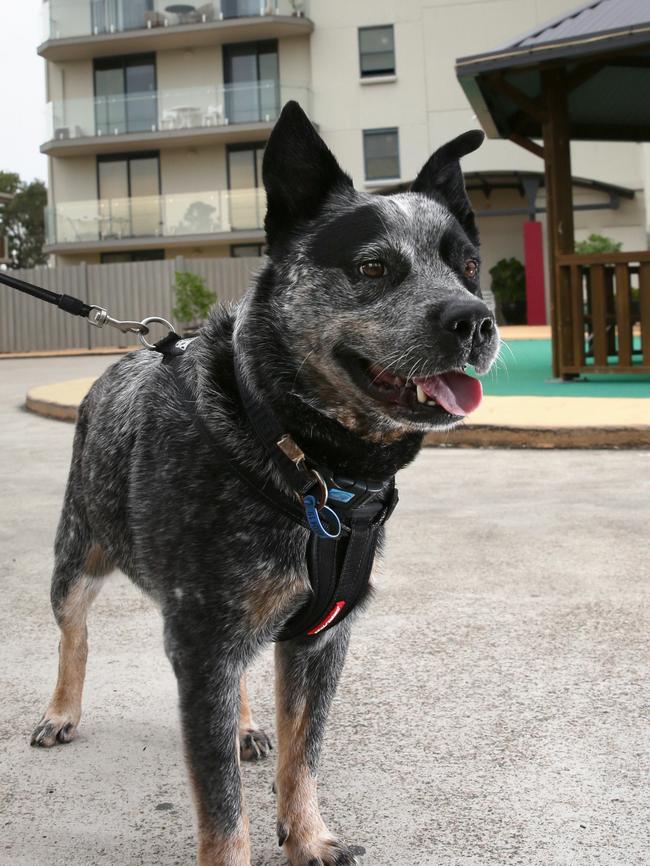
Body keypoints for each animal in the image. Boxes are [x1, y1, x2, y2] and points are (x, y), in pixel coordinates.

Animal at [29, 98, 496, 860]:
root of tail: (120, 360)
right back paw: (61, 709)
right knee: (75, 633)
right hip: (77, 555)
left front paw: (308, 838)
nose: (475, 319)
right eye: (373, 267)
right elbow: (223, 812)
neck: (304, 463)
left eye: (470, 266)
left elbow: (303, 757)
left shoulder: (319, 640)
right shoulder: (202, 646)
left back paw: (247, 724)